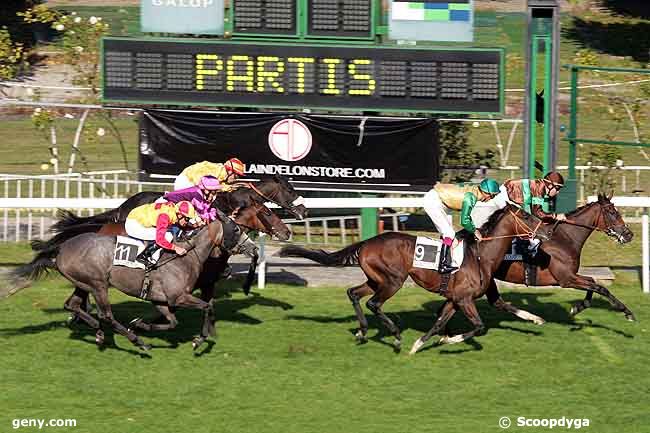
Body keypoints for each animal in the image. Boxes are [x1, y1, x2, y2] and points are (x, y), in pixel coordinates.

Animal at [9, 202, 288, 352]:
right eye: (236, 229)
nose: (253, 249)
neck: (188, 256)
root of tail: (61, 249)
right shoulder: (180, 295)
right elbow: (207, 307)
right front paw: (200, 339)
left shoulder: (163, 300)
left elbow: (174, 321)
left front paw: (142, 323)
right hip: (99, 284)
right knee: (105, 314)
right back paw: (135, 342)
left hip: (83, 282)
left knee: (74, 304)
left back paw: (98, 330)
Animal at [278, 205, 552, 354]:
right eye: (526, 216)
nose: (548, 230)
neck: (481, 255)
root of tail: (366, 242)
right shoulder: (464, 299)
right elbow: (477, 326)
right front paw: (449, 340)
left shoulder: (455, 299)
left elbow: (441, 322)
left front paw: (420, 345)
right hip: (393, 280)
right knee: (373, 304)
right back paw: (396, 336)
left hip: (376, 279)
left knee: (354, 294)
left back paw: (363, 332)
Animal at [492, 194, 632, 318]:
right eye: (612, 212)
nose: (629, 235)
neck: (565, 239)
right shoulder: (566, 279)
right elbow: (601, 288)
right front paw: (626, 311)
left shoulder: (571, 276)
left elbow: (592, 281)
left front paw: (578, 307)